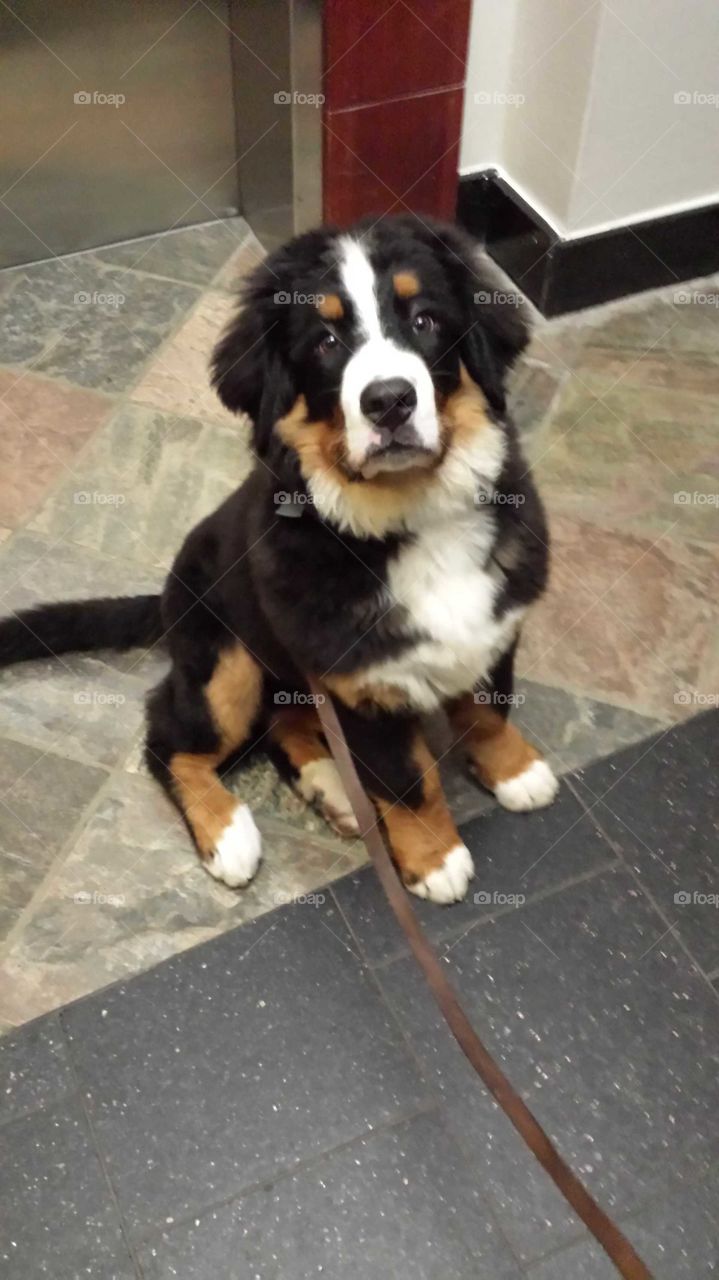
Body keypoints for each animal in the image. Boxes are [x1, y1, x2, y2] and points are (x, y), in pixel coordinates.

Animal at [0, 215, 555, 906]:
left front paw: (515, 770)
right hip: (227, 659)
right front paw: (435, 858)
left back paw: (331, 786)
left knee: (283, 724)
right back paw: (229, 832)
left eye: (425, 320)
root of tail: (167, 594)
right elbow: (407, 781)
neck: (409, 517)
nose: (390, 400)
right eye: (325, 341)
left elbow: (485, 712)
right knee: (169, 737)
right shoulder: (360, 685)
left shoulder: (493, 629)